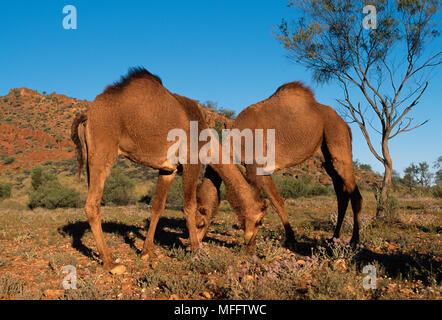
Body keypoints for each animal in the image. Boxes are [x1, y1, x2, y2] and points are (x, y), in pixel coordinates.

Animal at [71, 67, 268, 272]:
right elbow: (189, 205)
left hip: (90, 158)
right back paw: (110, 261)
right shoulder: (191, 162)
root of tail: (87, 114)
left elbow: (157, 207)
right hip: (103, 154)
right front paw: (196, 250)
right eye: (260, 220)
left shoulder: (168, 170)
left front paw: (146, 251)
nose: (251, 248)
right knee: (92, 204)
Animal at [196, 81, 362, 249]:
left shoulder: (254, 164)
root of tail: (345, 125)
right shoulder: (261, 169)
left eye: (200, 223)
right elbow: (277, 202)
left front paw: (250, 242)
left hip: (338, 142)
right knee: (342, 195)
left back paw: (354, 241)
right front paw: (291, 239)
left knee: (355, 195)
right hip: (326, 159)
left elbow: (255, 201)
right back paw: (334, 238)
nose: (194, 243)